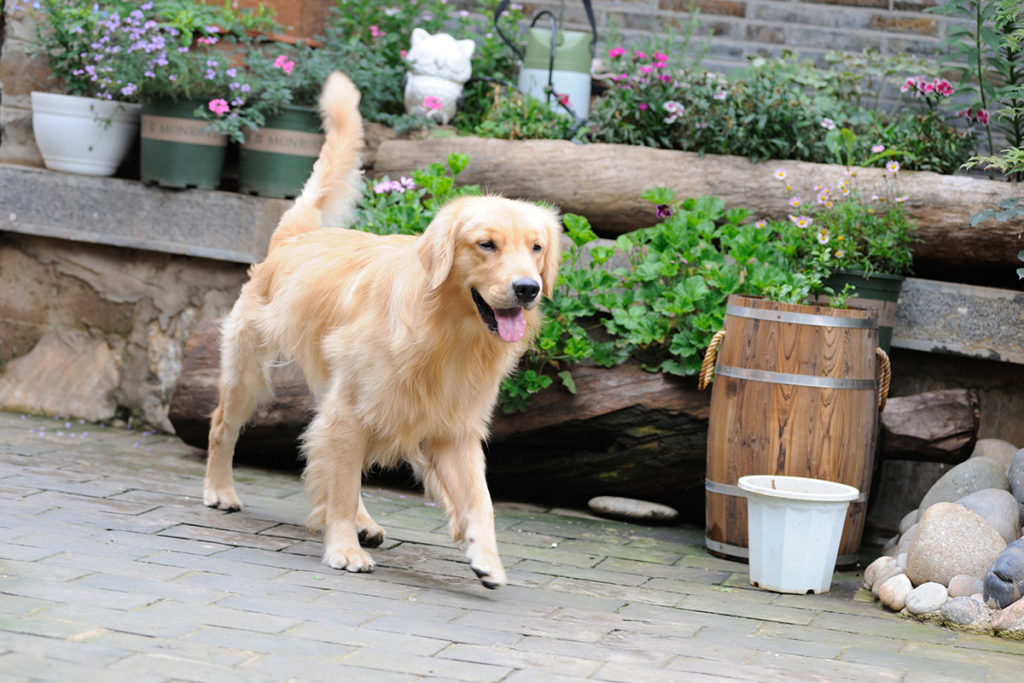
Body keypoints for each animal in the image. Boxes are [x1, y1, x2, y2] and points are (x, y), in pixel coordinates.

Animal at [202, 73, 565, 589]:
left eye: (536, 248)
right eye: (486, 245)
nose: (528, 288)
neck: (447, 333)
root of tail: (295, 235)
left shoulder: (454, 427)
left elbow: (480, 498)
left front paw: (486, 558)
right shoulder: (351, 412)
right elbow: (339, 484)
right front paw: (342, 549)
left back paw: (365, 523)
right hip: (251, 374)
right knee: (223, 428)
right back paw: (221, 490)